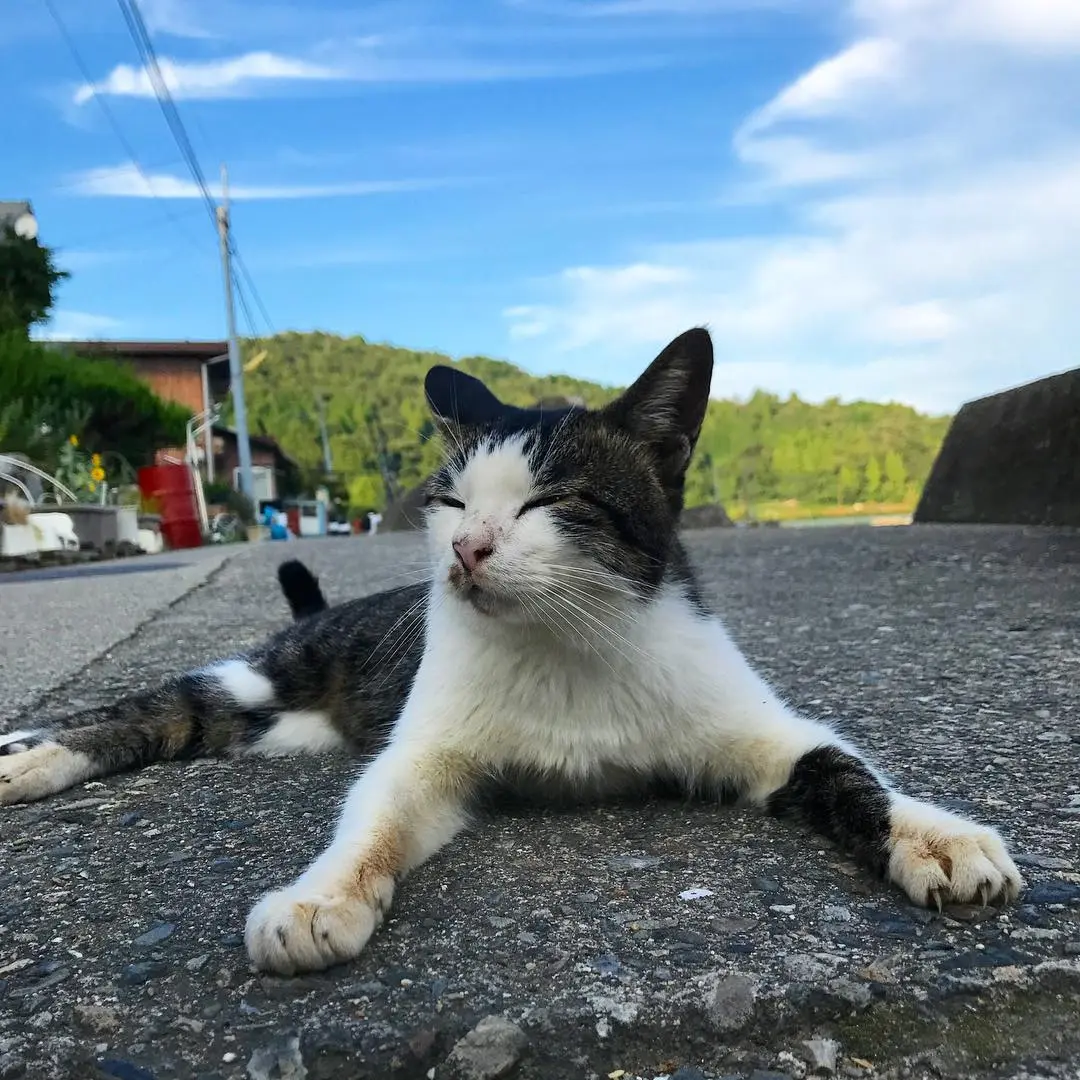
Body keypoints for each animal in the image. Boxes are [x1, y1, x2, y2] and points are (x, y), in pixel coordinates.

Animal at [0, 324, 1019, 976]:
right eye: (450, 502)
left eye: (547, 501)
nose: (465, 547)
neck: (568, 642)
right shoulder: (424, 755)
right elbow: (371, 821)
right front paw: (319, 898)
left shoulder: (762, 732)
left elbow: (848, 768)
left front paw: (936, 835)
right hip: (262, 678)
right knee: (154, 708)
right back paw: (28, 757)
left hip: (285, 728)